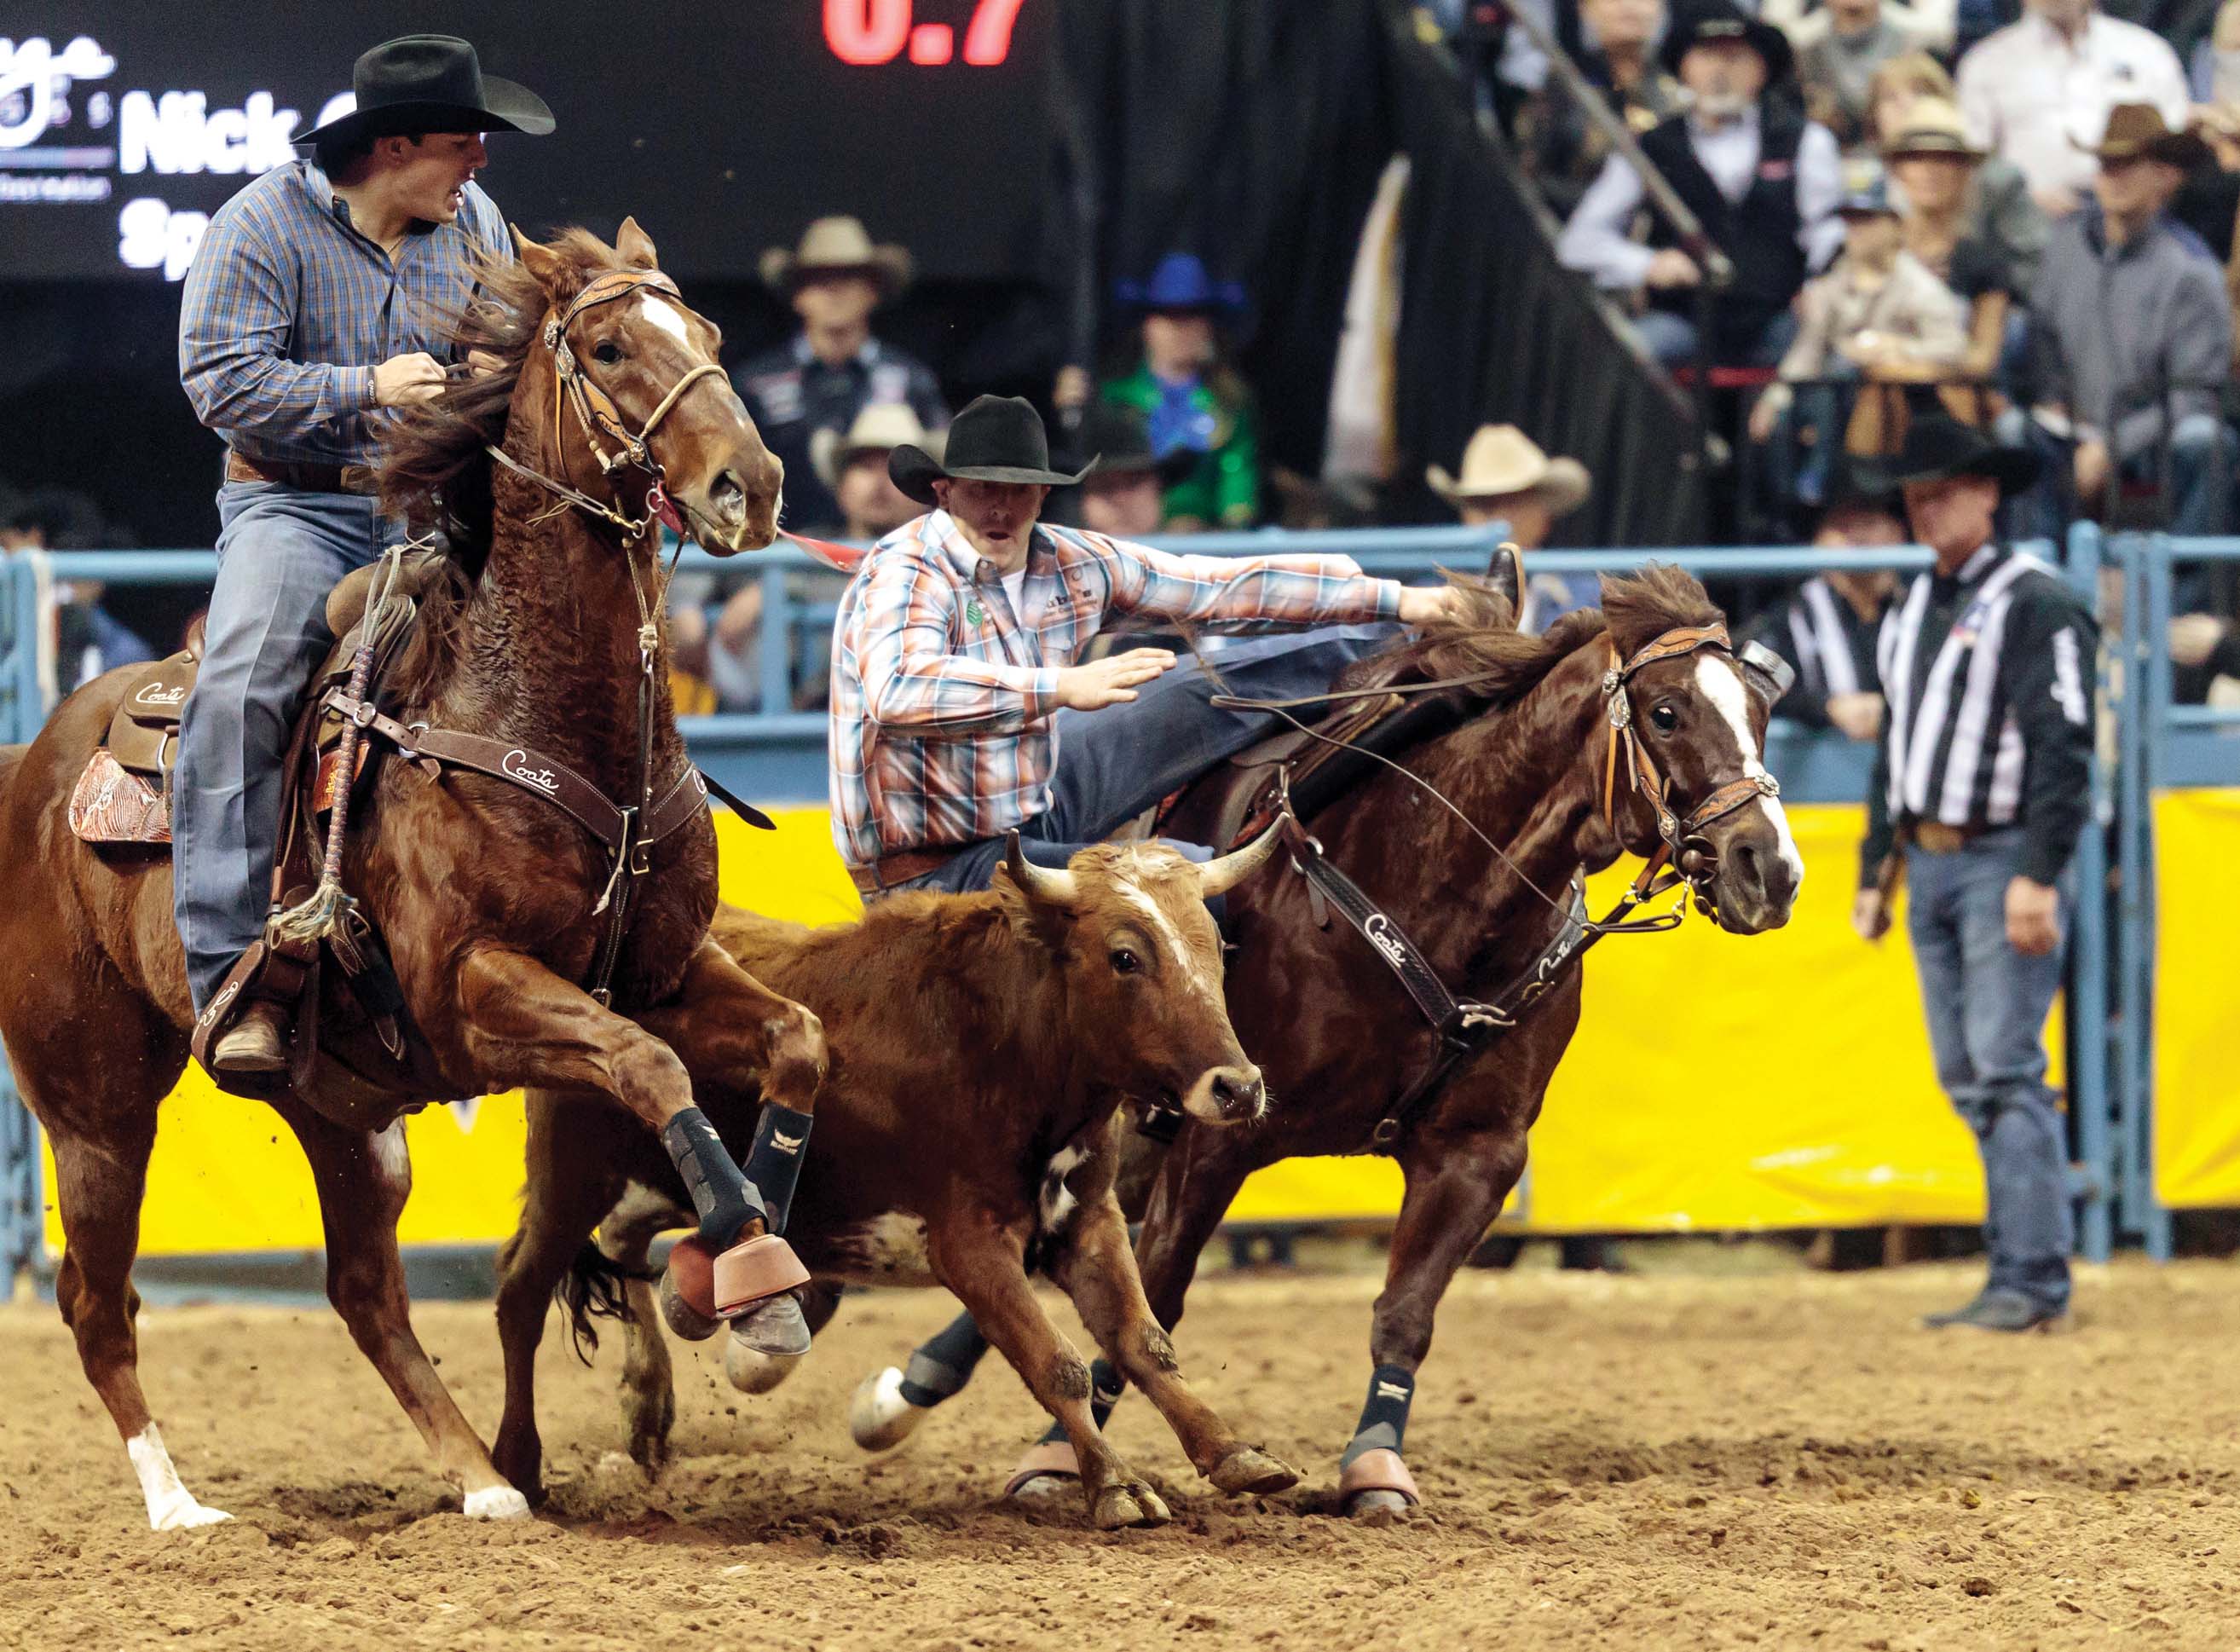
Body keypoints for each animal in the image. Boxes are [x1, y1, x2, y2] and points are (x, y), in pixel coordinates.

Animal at [0, 222, 824, 1533]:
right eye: (608, 347)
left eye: (708, 333)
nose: (753, 483)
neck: (534, 711)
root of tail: (33, 764)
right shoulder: (474, 989)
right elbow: (650, 1066)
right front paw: (743, 1268)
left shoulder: (664, 972)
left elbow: (796, 1041)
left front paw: (762, 1302)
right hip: (93, 1105)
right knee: (96, 1298)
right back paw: (180, 1505)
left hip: (338, 1108)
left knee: (364, 1290)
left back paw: (484, 1478)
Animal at [846, 574, 1810, 1515]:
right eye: (1666, 713)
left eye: (1763, 712)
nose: (1770, 868)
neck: (1432, 889)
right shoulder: (1219, 1133)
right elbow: (1155, 1292)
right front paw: (1062, 1456)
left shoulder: (1479, 1153)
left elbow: (1405, 1312)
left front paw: (1377, 1468)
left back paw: (917, 1383)